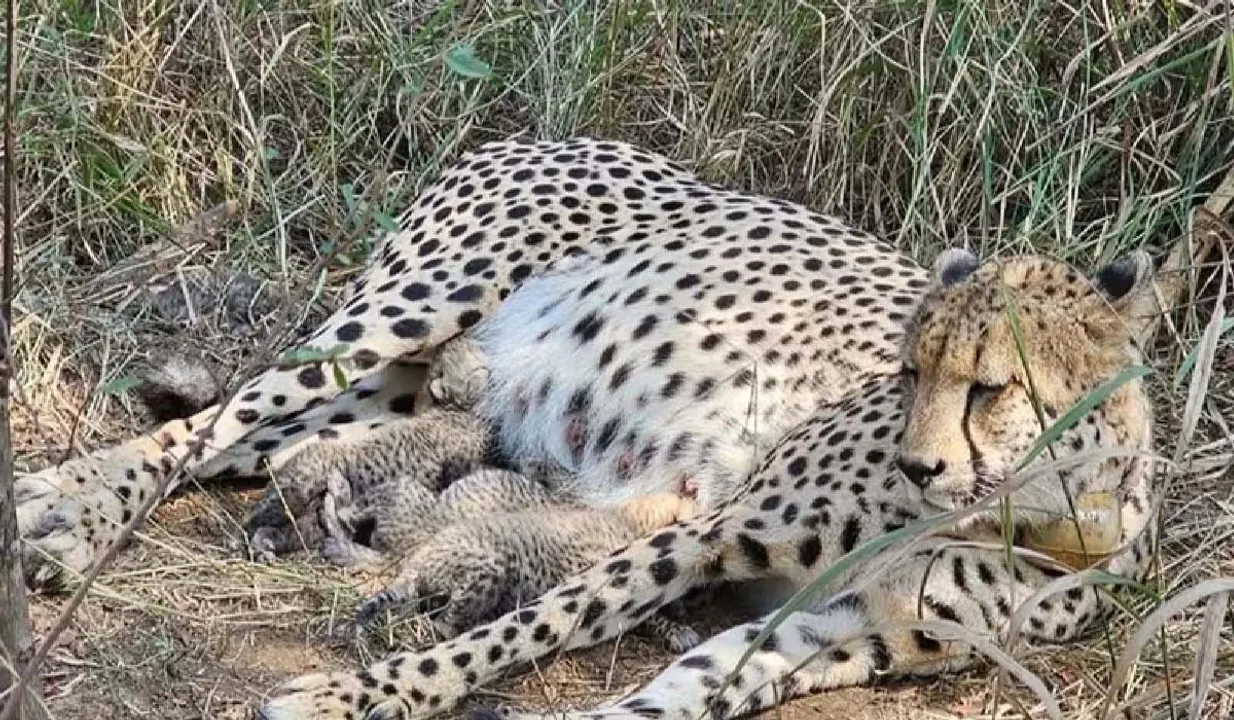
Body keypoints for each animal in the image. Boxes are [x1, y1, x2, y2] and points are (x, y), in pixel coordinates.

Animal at [10, 137, 1168, 720]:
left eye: (991, 388)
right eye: (910, 370)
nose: (919, 463)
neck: (1032, 513)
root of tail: (535, 132)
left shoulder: (839, 633)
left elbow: (681, 696)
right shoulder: (704, 534)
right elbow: (530, 626)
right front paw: (355, 695)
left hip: (411, 393)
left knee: (272, 445)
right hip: (413, 307)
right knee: (216, 419)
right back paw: (62, 511)